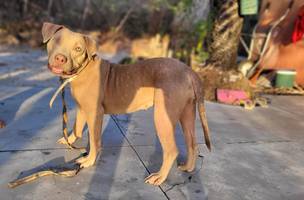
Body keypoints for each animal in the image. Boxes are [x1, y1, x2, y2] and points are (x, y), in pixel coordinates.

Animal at [41, 22, 210, 186]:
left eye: (78, 49)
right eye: (57, 40)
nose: (60, 58)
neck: (82, 69)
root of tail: (188, 70)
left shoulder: (95, 113)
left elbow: (95, 141)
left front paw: (89, 160)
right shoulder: (82, 109)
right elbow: (77, 128)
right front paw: (68, 140)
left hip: (163, 118)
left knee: (172, 150)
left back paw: (160, 177)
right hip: (187, 114)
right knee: (192, 143)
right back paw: (188, 167)